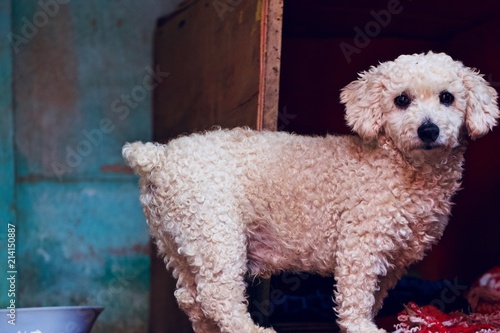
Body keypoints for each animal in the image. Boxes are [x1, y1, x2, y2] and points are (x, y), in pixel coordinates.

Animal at [123, 50, 498, 330]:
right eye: (401, 100)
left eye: (447, 98)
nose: (428, 129)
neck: (402, 168)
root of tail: (158, 156)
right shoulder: (361, 245)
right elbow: (356, 297)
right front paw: (362, 328)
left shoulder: (392, 263)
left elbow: (373, 298)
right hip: (215, 233)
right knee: (218, 296)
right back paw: (252, 329)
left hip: (179, 243)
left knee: (191, 298)